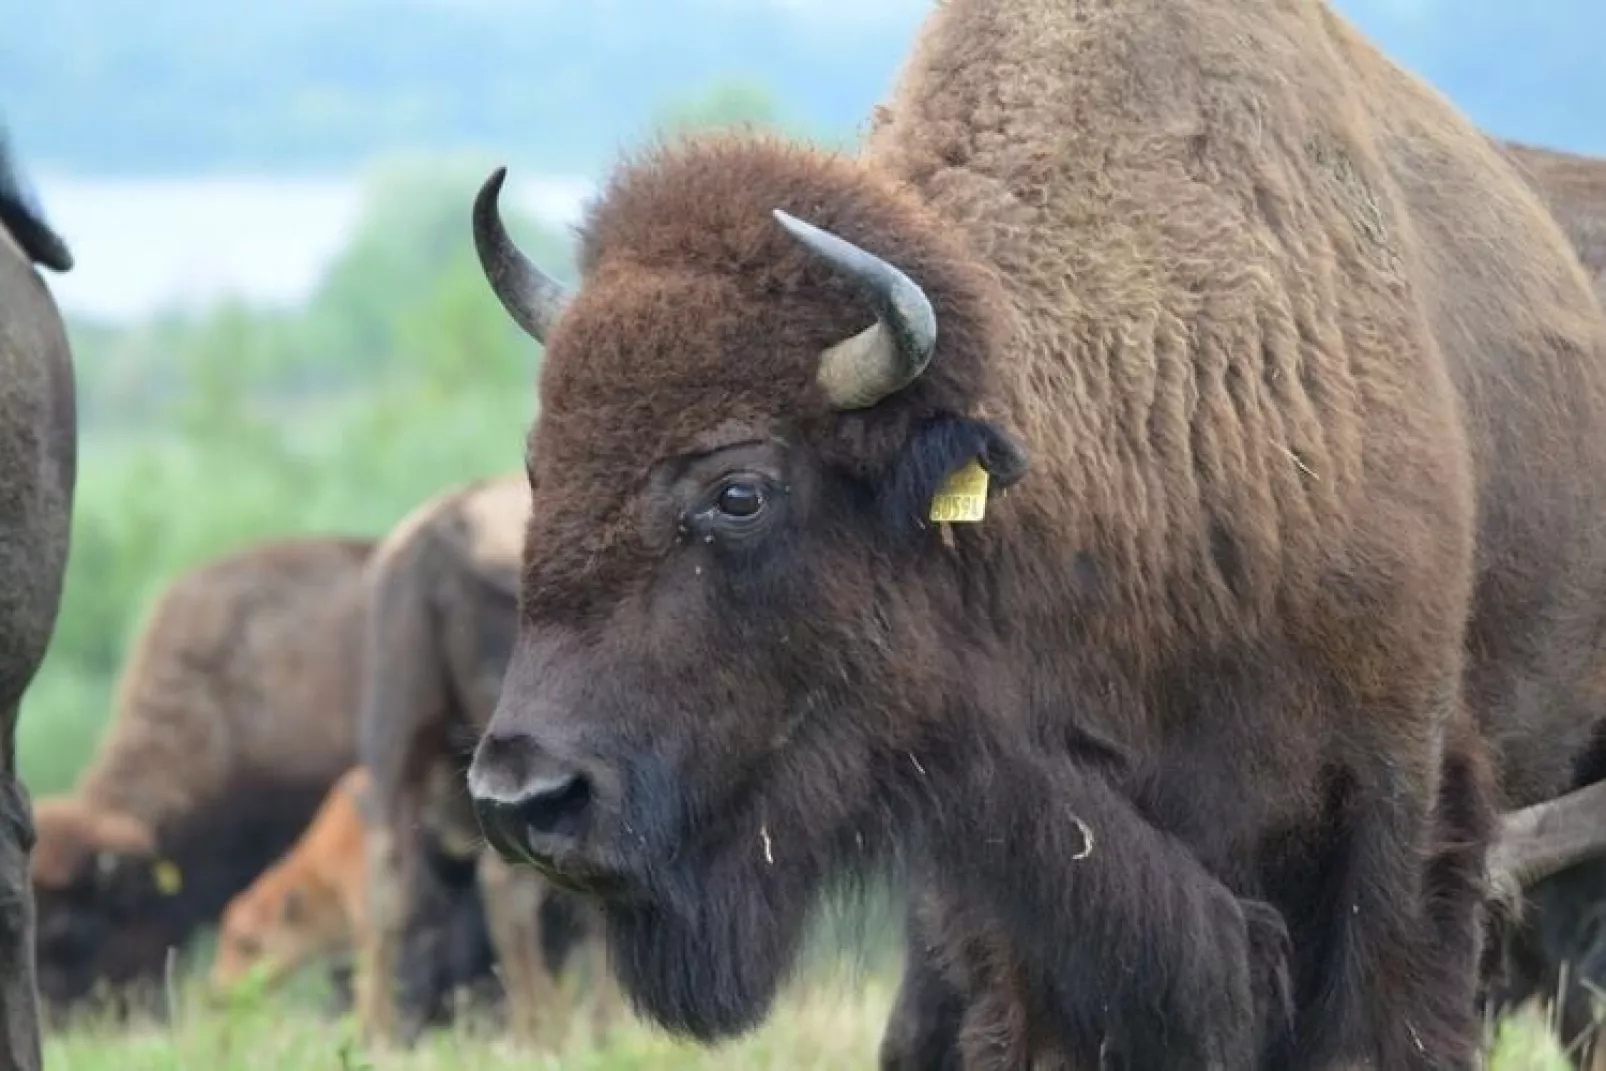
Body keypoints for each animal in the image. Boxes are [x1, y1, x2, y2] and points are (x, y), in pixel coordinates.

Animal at [354, 475, 610, 1046]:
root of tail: (449, 526)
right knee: (509, 885)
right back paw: (546, 1027)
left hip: (397, 737)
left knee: (386, 883)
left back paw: (377, 1035)